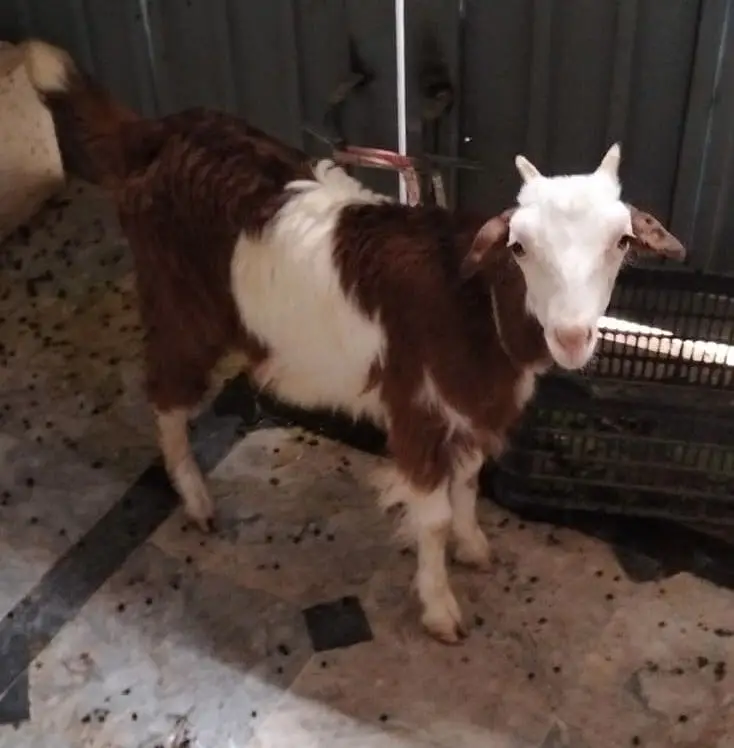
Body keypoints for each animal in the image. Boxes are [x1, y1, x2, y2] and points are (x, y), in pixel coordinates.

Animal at [22, 39, 685, 643]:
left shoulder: (467, 408)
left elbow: (469, 482)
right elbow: (432, 517)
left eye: (622, 242)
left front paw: (474, 546)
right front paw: (440, 609)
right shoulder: (416, 408)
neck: (473, 306)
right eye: (519, 248)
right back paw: (196, 498)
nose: (572, 335)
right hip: (180, 302)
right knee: (165, 392)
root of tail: (155, 132)